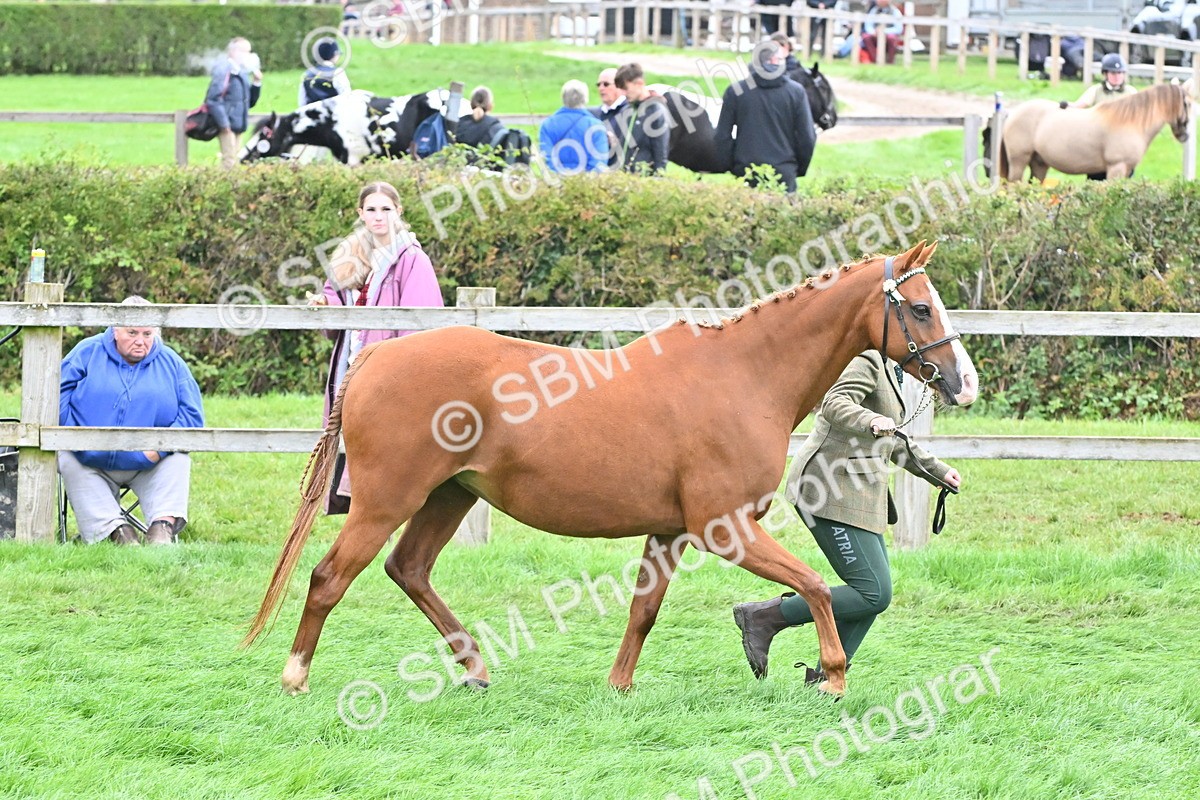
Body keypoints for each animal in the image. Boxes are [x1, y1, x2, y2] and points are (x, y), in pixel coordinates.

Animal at [243, 241, 979, 700]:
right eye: (919, 308)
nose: (963, 382)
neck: (743, 376)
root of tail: (375, 358)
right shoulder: (725, 529)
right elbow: (819, 586)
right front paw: (833, 675)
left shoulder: (671, 531)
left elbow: (643, 611)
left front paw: (619, 685)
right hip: (386, 501)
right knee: (330, 577)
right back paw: (295, 675)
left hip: (448, 498)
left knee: (410, 569)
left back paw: (476, 667)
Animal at [997, 83, 1191, 182]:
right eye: (1188, 103)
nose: (1185, 135)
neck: (1131, 121)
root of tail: (1013, 113)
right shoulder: (1116, 169)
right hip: (1019, 162)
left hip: (1039, 164)